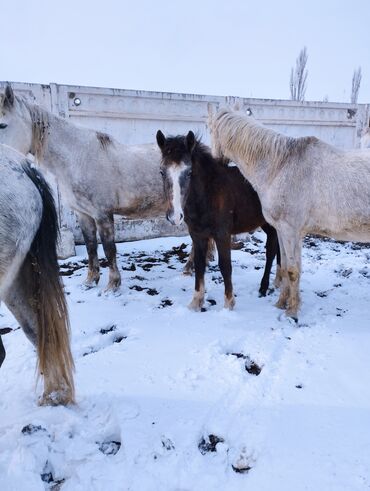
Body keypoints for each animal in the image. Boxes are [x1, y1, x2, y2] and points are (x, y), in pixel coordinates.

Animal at [0, 84, 166, 292]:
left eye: (2, 125)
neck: (79, 158)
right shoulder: (84, 215)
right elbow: (91, 247)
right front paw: (90, 282)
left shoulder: (103, 215)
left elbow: (109, 250)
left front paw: (112, 286)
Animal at [208, 106, 370, 320]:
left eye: (210, 130)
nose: (215, 163)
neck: (280, 166)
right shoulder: (285, 231)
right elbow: (285, 267)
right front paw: (281, 303)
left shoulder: (289, 230)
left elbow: (292, 271)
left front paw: (291, 311)